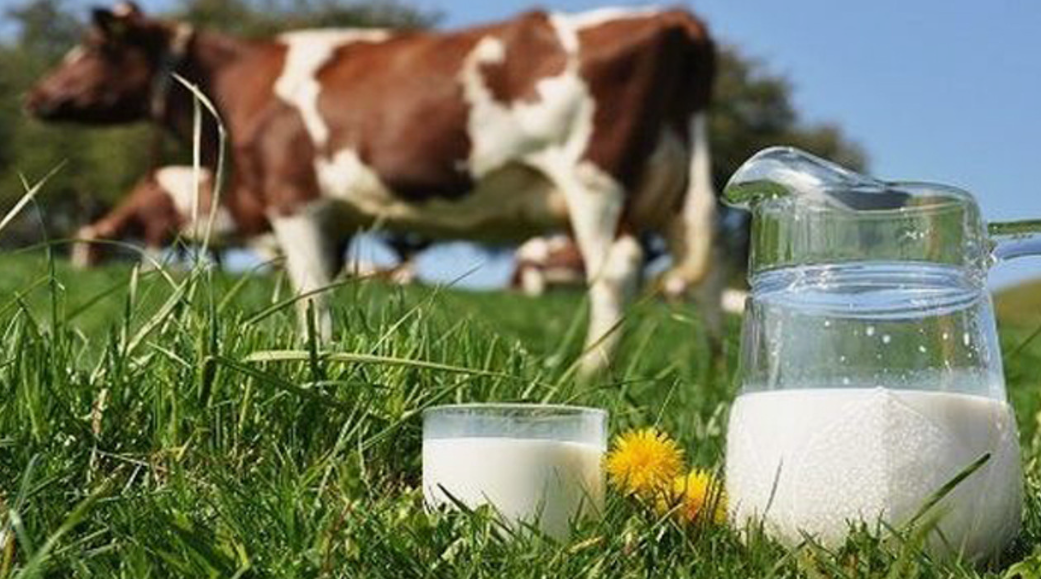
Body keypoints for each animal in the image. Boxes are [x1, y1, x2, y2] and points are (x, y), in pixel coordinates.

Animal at [26, 3, 724, 374]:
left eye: (93, 46)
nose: (36, 97)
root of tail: (674, 17)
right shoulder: (334, 219)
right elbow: (319, 290)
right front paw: (314, 355)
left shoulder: (295, 198)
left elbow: (310, 292)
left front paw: (316, 357)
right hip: (675, 189)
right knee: (709, 273)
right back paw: (715, 369)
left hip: (593, 181)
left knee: (617, 269)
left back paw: (589, 371)